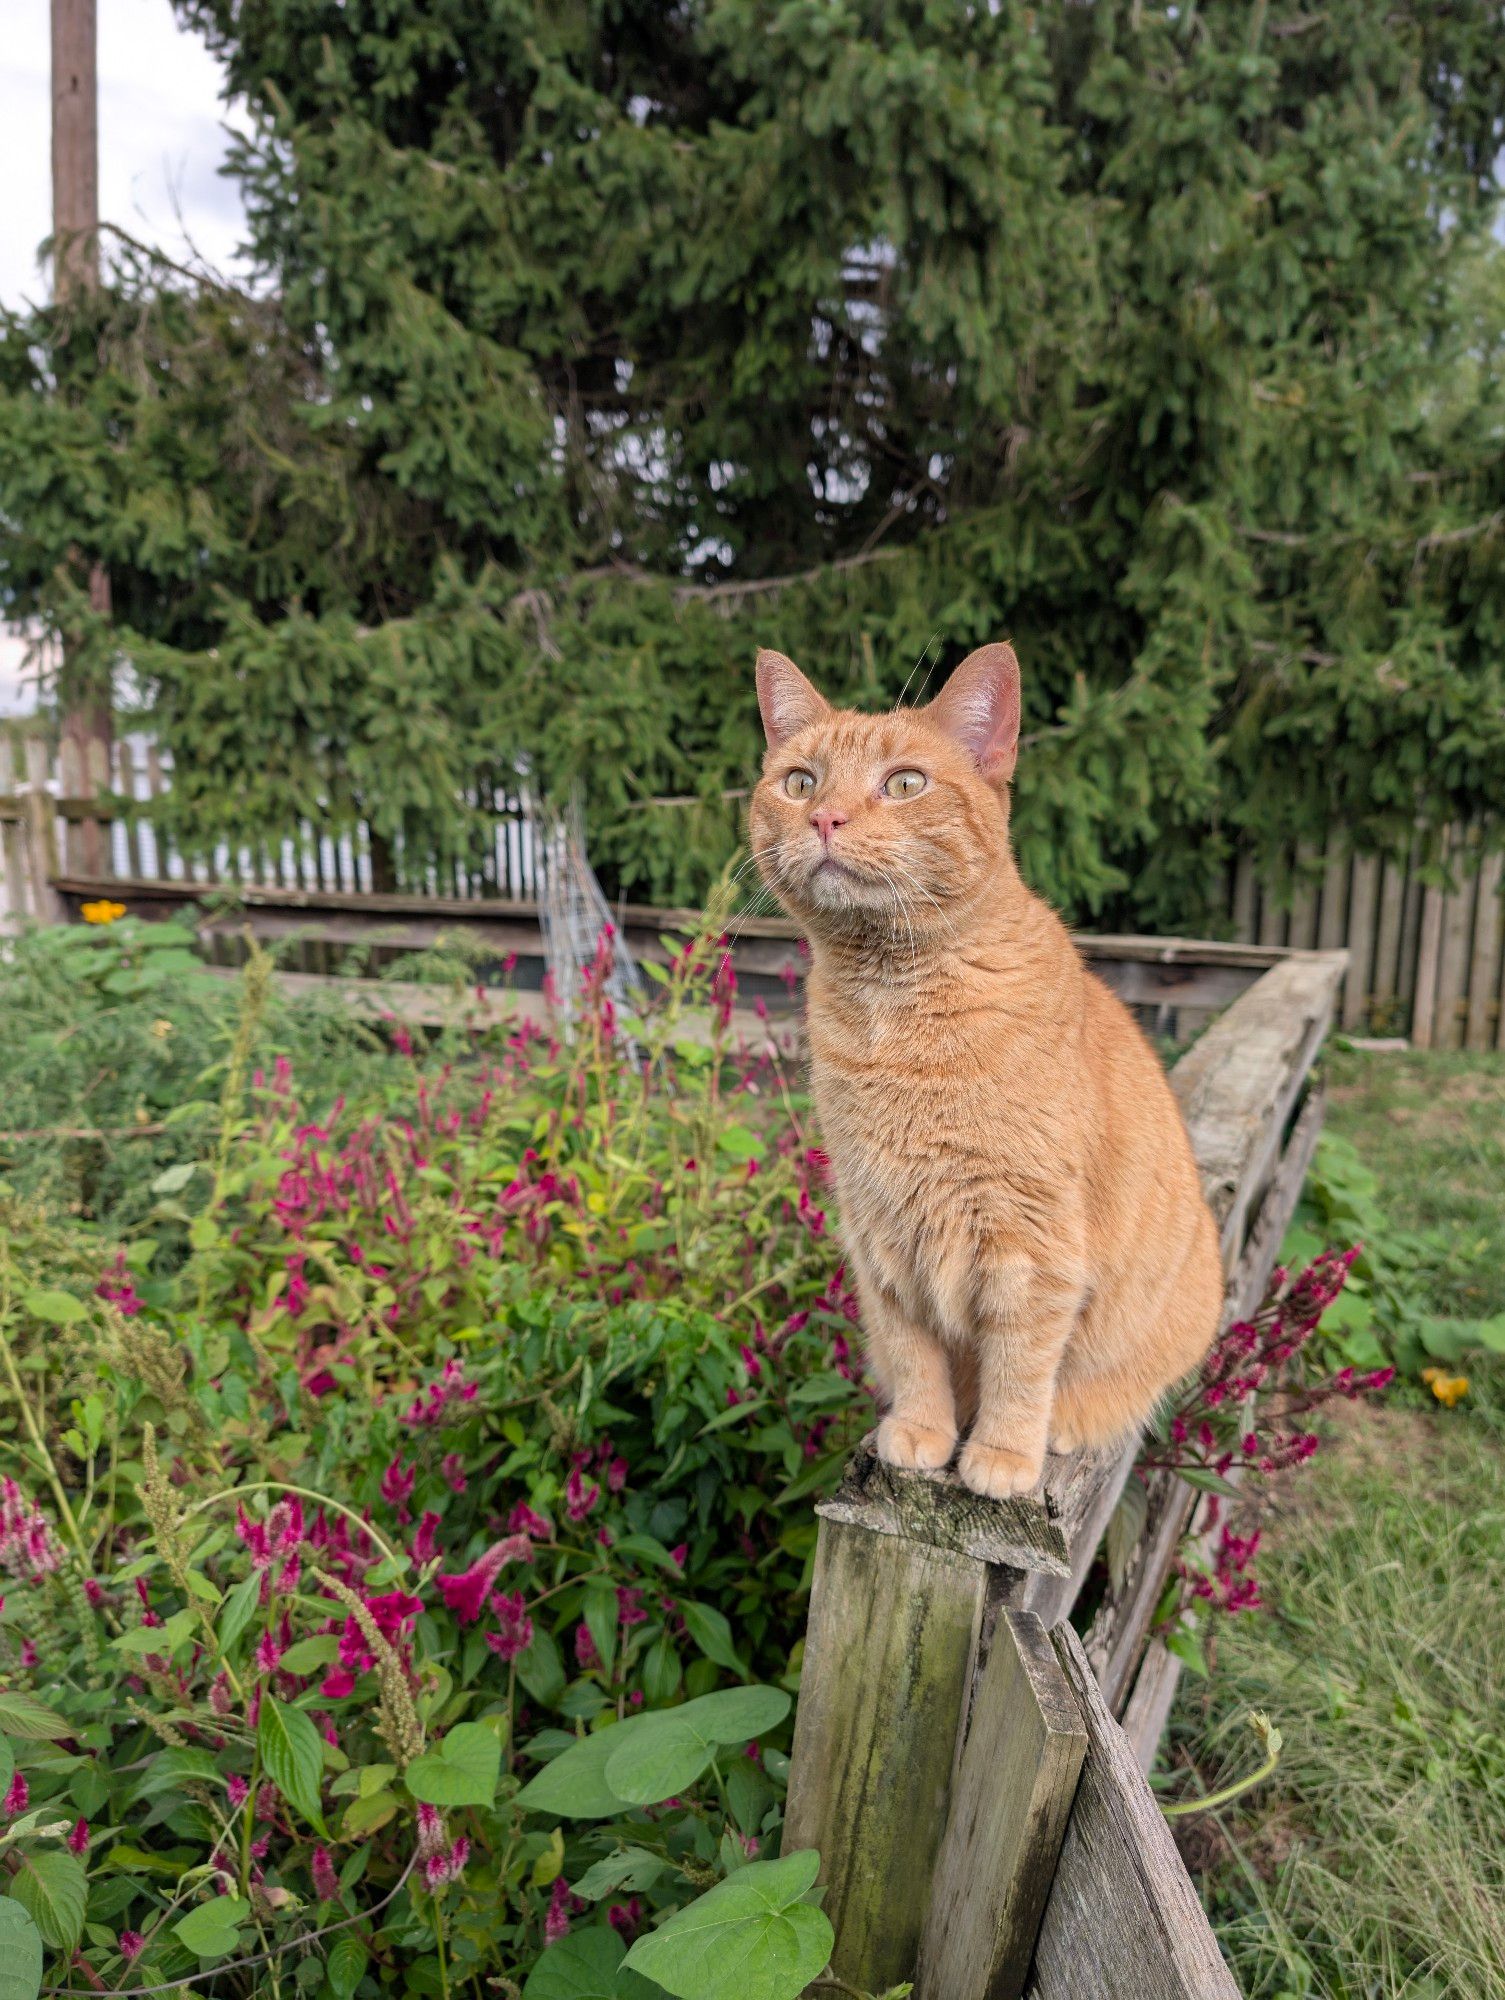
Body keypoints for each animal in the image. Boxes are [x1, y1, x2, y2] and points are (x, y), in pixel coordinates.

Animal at [748, 648, 1224, 1496]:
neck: (891, 1004)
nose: (824, 818)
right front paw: (920, 1431)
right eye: (799, 782)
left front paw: (1001, 1453)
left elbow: (1019, 1364)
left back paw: (1069, 1423)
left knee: (1120, 1387)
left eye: (905, 783)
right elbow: (913, 1353)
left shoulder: (1029, 1245)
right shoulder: (880, 1233)